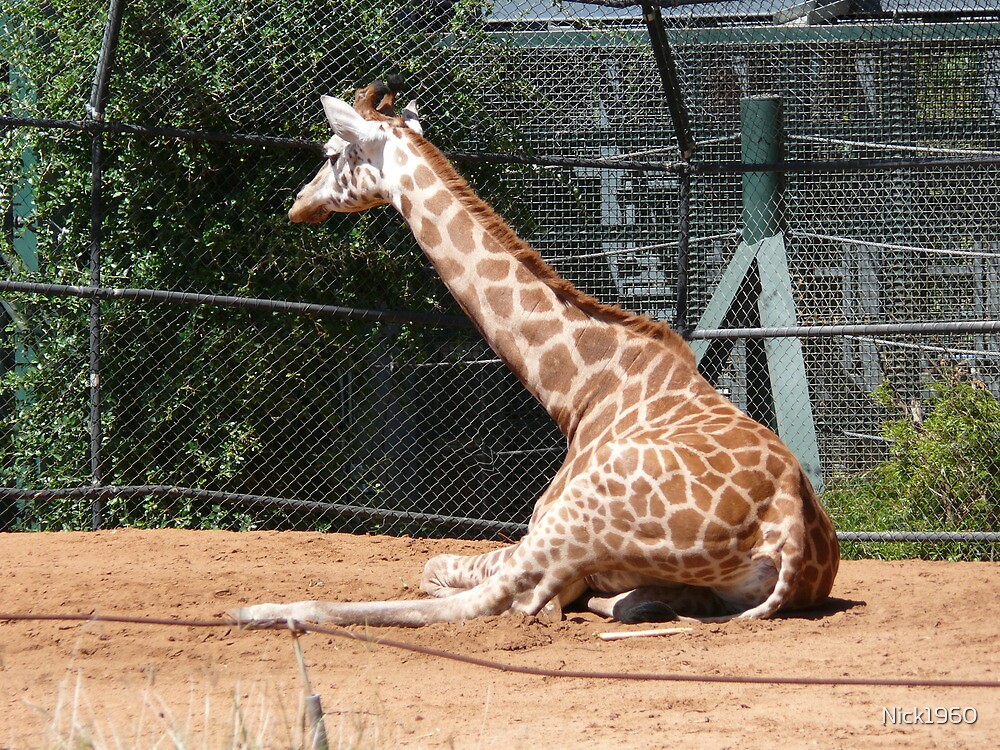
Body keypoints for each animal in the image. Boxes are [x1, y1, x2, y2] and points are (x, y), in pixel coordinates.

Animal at [231, 81, 839, 628]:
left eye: (333, 153)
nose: (299, 204)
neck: (580, 391)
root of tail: (787, 534)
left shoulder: (539, 526)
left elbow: (439, 570)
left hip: (579, 514)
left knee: (483, 601)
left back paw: (266, 611)